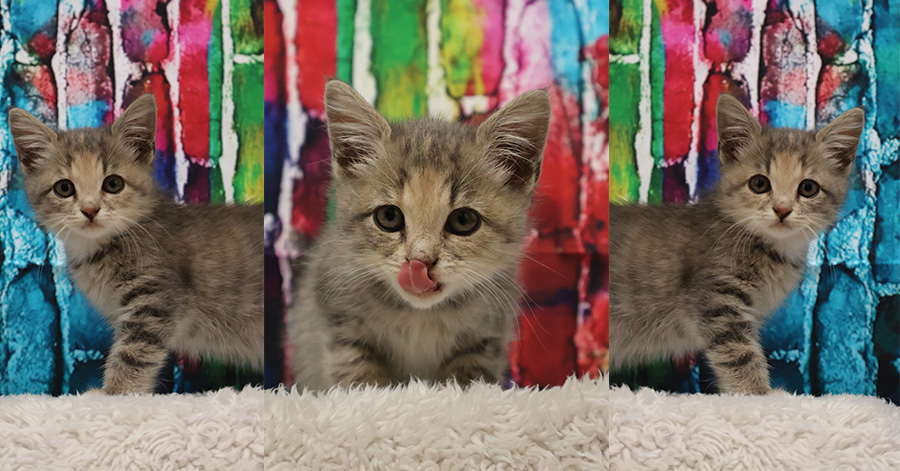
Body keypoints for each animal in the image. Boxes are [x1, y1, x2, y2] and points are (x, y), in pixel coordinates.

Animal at [10, 95, 264, 394]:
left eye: (113, 184)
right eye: (64, 188)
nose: (90, 209)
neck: (100, 249)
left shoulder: (156, 300)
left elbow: (132, 354)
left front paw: (112, 394)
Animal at [288, 80, 552, 390]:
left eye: (464, 220)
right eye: (389, 217)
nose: (419, 261)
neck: (420, 315)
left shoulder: (486, 339)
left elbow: (466, 381)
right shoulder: (339, 323)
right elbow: (359, 379)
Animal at [608, 95, 860, 394]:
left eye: (808, 188)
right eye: (759, 184)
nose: (782, 209)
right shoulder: (716, 301)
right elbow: (740, 354)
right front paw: (761, 394)